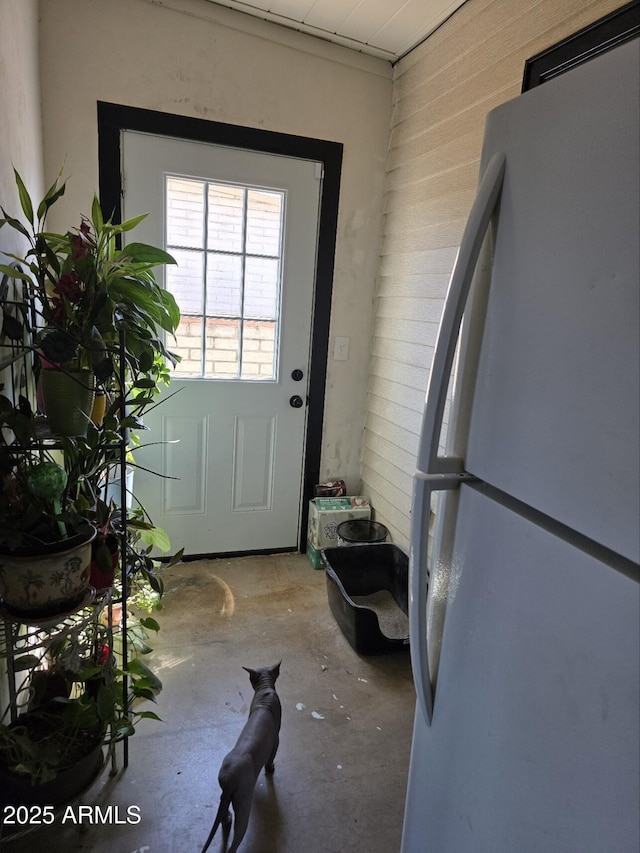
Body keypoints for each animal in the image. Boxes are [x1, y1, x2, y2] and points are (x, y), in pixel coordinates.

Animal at [200, 664, 280, 852]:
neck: (265, 689)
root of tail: (229, 777)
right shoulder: (276, 738)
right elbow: (271, 759)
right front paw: (271, 769)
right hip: (243, 801)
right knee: (235, 841)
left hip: (225, 794)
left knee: (223, 814)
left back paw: (228, 819)